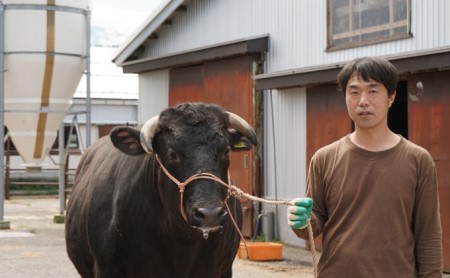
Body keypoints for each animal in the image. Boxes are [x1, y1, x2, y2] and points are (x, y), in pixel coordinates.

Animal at [65, 103, 258, 276]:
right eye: (172, 154)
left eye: (226, 150)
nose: (210, 213)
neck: (181, 241)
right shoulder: (107, 268)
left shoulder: (221, 269)